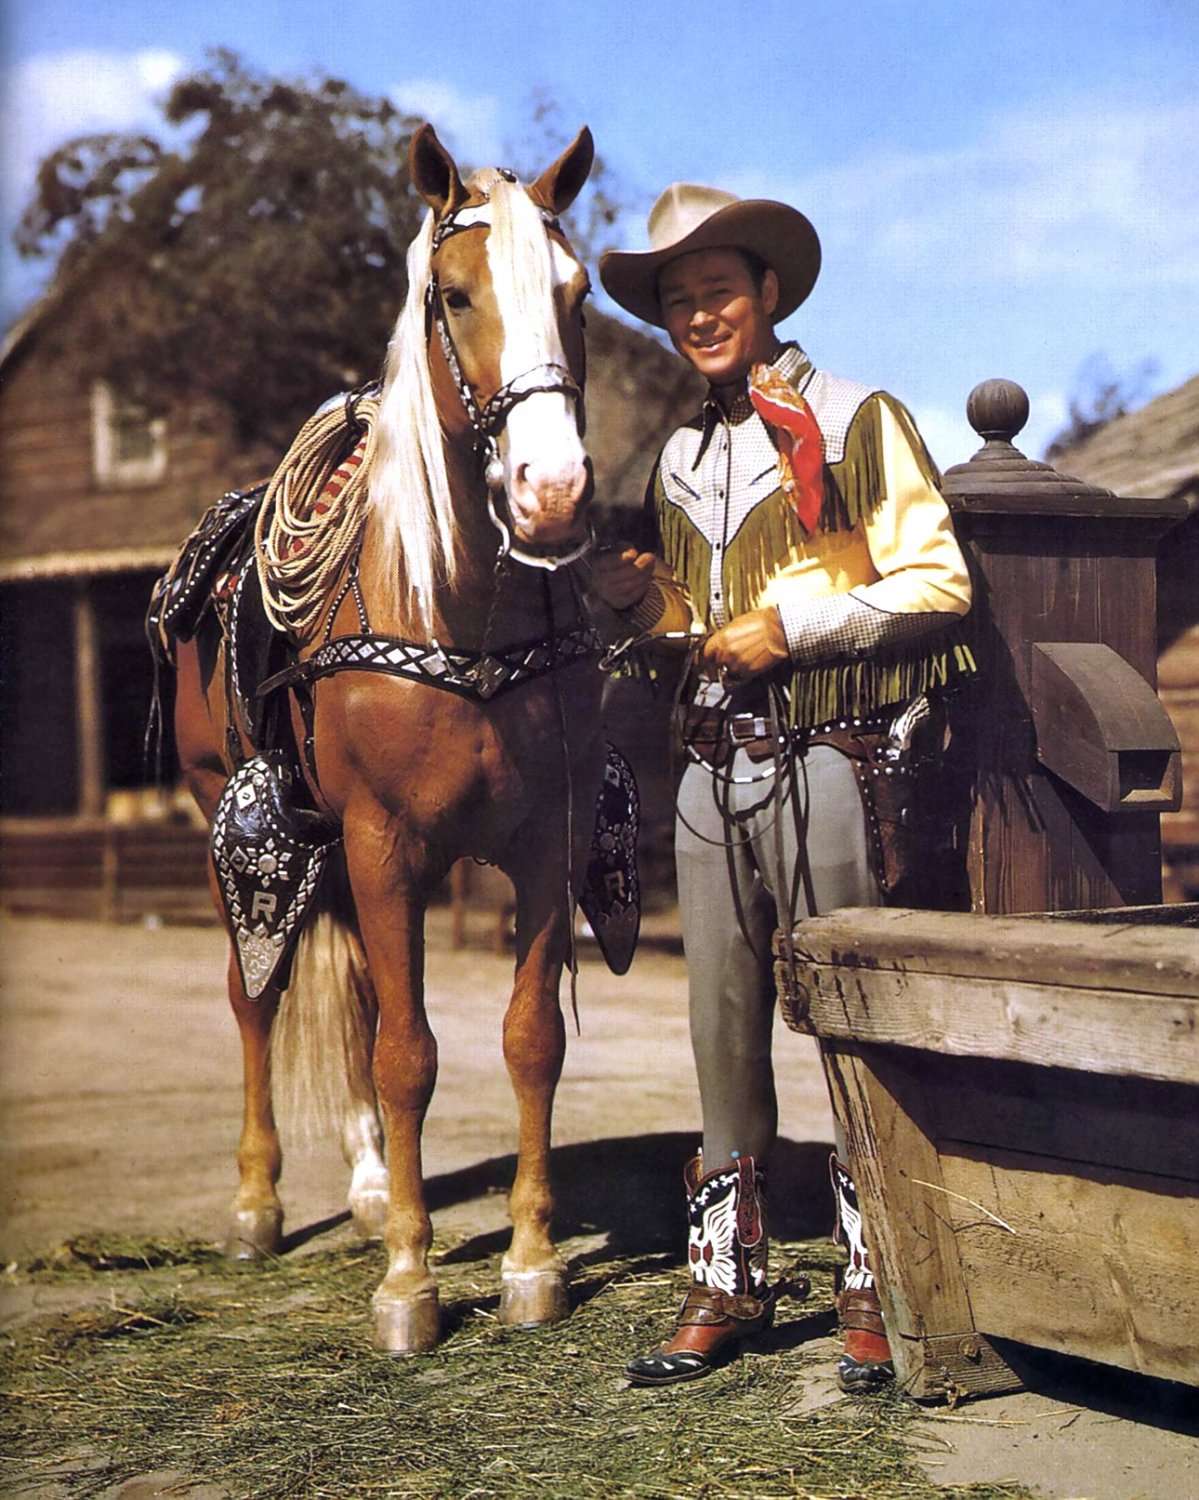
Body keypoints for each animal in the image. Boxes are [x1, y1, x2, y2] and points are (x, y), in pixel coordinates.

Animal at [165, 123, 603, 1353]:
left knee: (351, 993)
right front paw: (411, 1284)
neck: (453, 610)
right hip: (232, 827)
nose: (553, 494)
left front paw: (531, 1265)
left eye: (578, 293)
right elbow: (408, 1054)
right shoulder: (382, 845)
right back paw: (260, 1206)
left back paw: (364, 1188)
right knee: (255, 1003)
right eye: (451, 295)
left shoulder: (539, 851)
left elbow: (526, 1041)